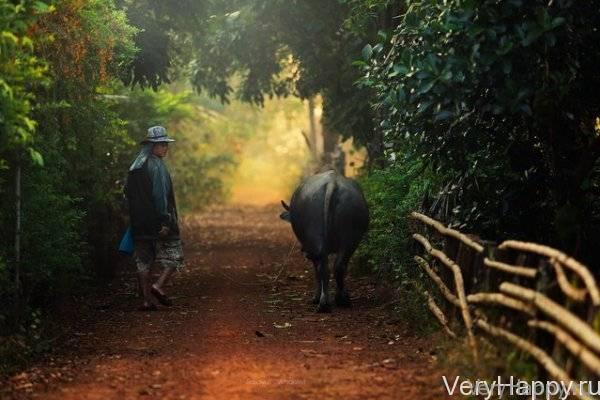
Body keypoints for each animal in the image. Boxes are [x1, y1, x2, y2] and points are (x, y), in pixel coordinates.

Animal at [282, 169, 370, 312]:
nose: (303, 250)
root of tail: (331, 184)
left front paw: (316, 297)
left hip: (315, 238)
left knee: (323, 267)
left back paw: (325, 302)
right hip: (350, 237)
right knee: (338, 265)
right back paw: (340, 300)